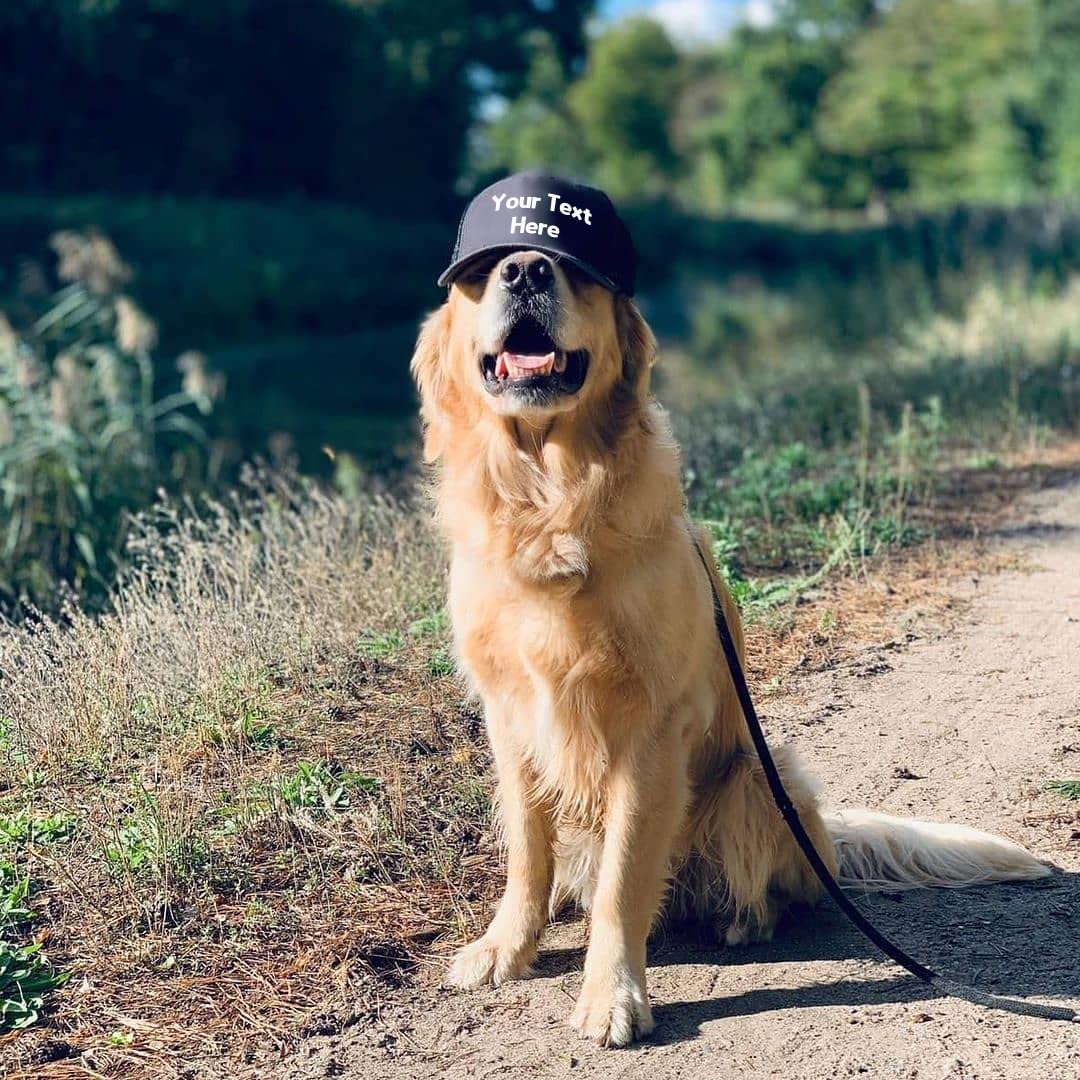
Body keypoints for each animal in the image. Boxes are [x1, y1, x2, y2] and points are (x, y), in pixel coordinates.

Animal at [408, 247, 1049, 1045]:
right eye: (483, 274)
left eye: (573, 271)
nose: (526, 271)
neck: (549, 503)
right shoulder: (510, 714)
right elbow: (528, 850)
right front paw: (506, 947)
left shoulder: (650, 731)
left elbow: (624, 879)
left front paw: (613, 995)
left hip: (756, 780)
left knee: (763, 887)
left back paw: (741, 921)